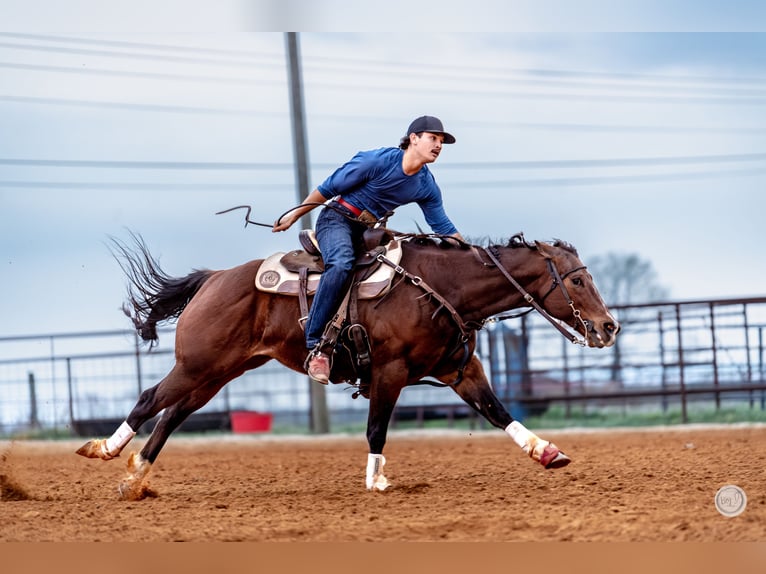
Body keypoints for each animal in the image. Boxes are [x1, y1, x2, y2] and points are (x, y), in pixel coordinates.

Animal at [76, 231, 620, 499]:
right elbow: (377, 427)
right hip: (198, 366)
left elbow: (499, 412)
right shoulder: (389, 372)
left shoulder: (461, 372)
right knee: (150, 400)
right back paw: (104, 450)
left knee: (173, 414)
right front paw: (376, 480)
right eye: (576, 281)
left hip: (215, 374)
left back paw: (135, 478)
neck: (438, 288)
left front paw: (547, 451)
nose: (609, 326)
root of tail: (213, 279)